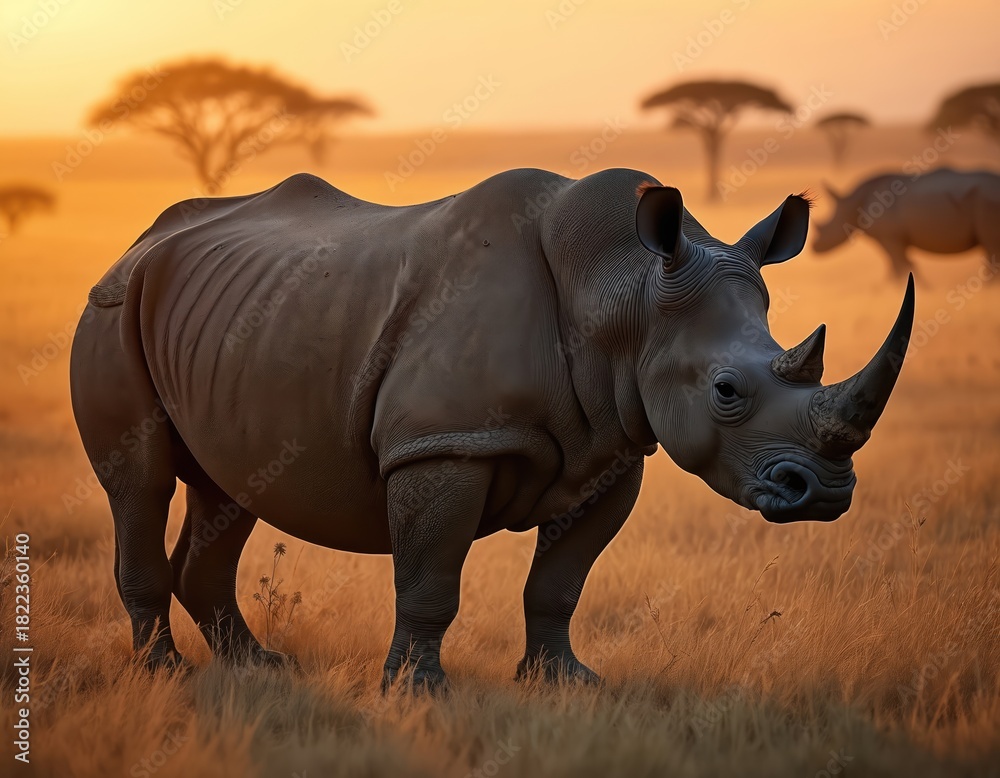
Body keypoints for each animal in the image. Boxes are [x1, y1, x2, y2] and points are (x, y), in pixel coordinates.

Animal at [70, 169, 914, 688]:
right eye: (727, 392)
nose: (825, 493)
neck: (625, 292)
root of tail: (140, 241)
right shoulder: (446, 442)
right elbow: (430, 580)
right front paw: (416, 692)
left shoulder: (615, 448)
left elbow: (560, 583)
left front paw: (565, 683)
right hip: (113, 309)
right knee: (140, 482)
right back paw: (165, 674)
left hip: (230, 322)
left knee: (229, 489)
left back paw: (259, 668)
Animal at [812, 168, 1000, 280]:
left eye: (826, 228)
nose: (815, 247)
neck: (852, 203)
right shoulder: (897, 239)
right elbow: (900, 267)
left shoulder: (890, 237)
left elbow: (900, 267)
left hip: (987, 200)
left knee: (991, 248)